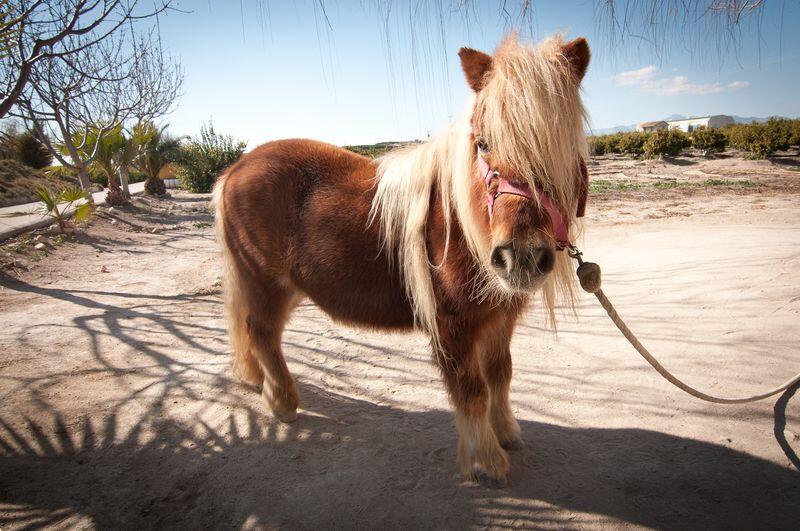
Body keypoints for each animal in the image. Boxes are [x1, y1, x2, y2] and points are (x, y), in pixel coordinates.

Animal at [211, 34, 588, 490]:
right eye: (483, 143)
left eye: (563, 147)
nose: (521, 257)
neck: (461, 224)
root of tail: (234, 171)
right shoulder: (453, 326)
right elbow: (472, 391)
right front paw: (486, 462)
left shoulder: (500, 319)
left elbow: (500, 375)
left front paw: (507, 433)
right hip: (264, 283)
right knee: (262, 332)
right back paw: (283, 403)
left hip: (288, 289)